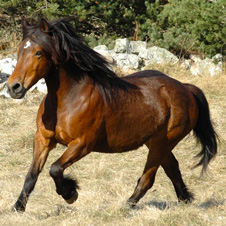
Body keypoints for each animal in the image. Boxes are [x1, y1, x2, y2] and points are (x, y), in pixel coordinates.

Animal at [5, 17, 217, 212]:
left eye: (38, 52)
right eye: (19, 50)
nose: (13, 87)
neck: (68, 100)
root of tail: (186, 89)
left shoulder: (82, 144)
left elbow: (55, 169)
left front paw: (70, 193)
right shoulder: (42, 139)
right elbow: (32, 175)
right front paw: (18, 207)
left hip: (162, 143)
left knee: (148, 178)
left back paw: (127, 206)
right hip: (156, 142)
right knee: (172, 168)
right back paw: (185, 200)